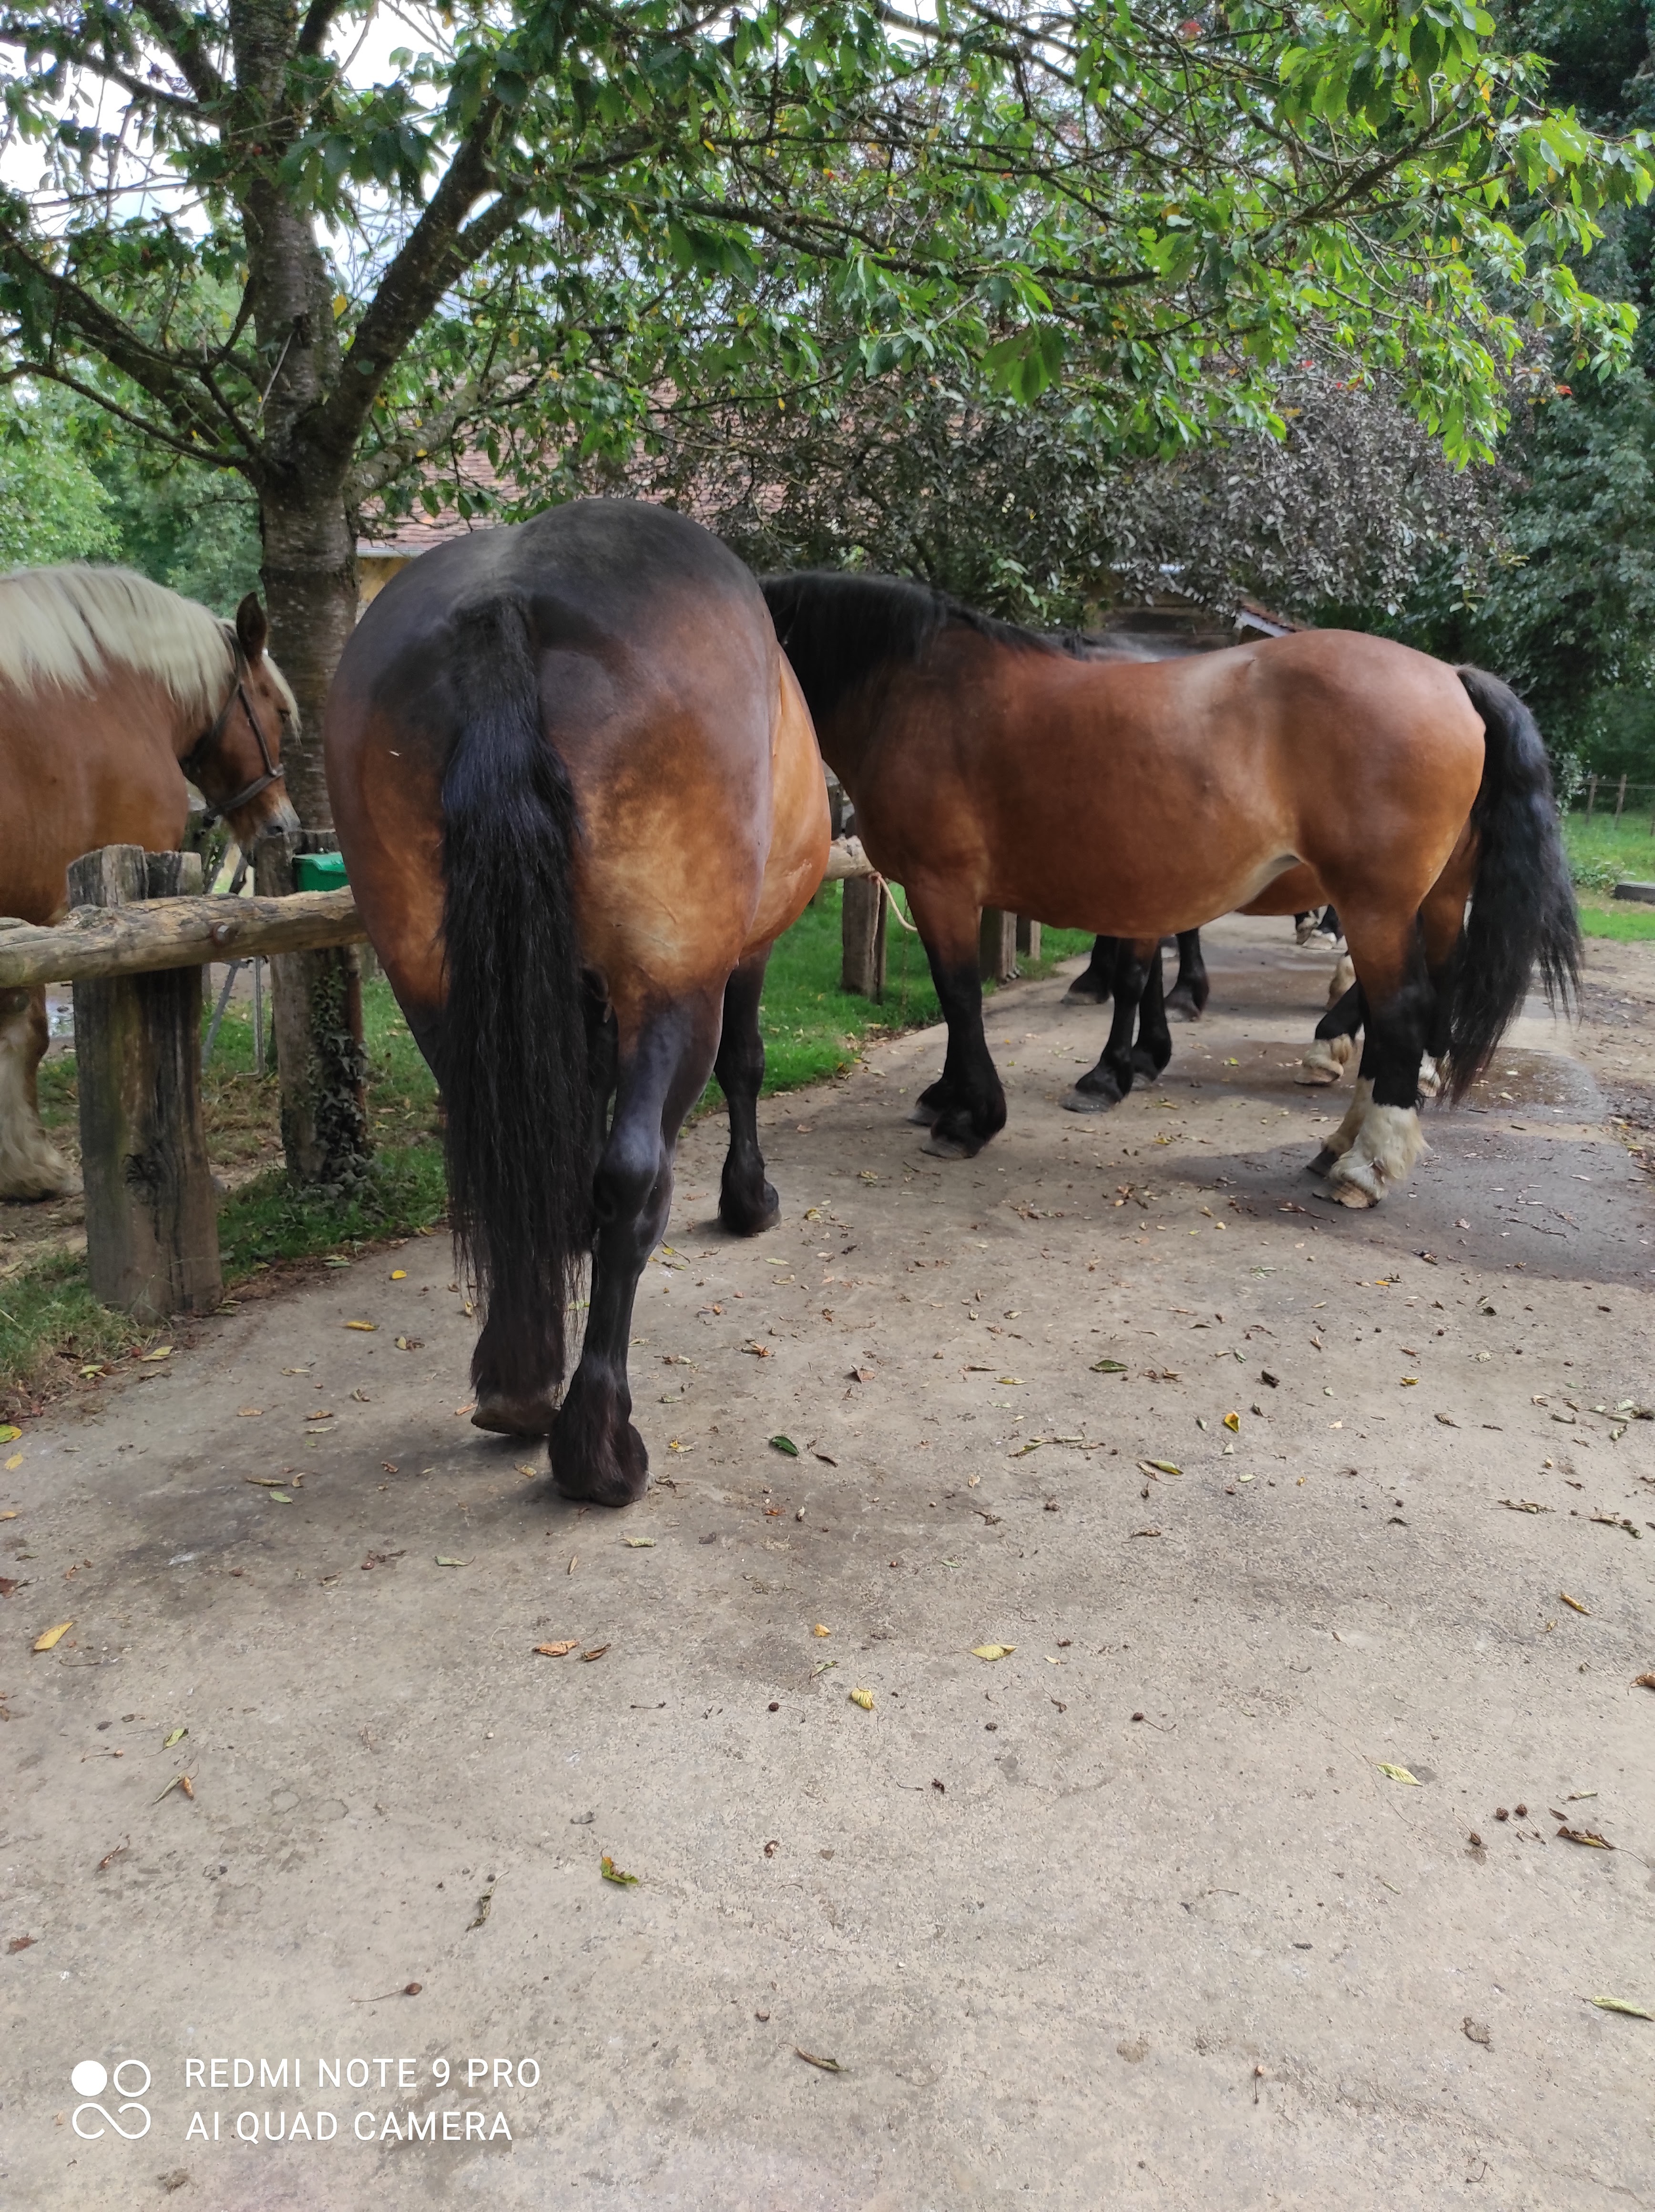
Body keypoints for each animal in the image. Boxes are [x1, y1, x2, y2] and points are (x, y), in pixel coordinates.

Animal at [0, 566, 299, 1200]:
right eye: (281, 714)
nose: (283, 825)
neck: (109, 696)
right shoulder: (50, 918)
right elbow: (29, 1031)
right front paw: (31, 1163)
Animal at [325, 500, 828, 1507]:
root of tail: (503, 605)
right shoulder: (740, 959)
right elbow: (744, 1066)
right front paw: (748, 1199)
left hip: (436, 989)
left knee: (502, 1148)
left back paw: (517, 1381)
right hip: (670, 986)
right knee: (630, 1179)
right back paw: (597, 1445)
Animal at [763, 570, 1578, 1208]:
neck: (914, 687)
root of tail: (1452, 678)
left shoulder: (945, 888)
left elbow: (962, 996)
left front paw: (975, 1116)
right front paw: (958, 1094)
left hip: (1377, 904)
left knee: (1403, 1009)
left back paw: (1364, 1163)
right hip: (1422, 900)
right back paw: (1342, 1138)